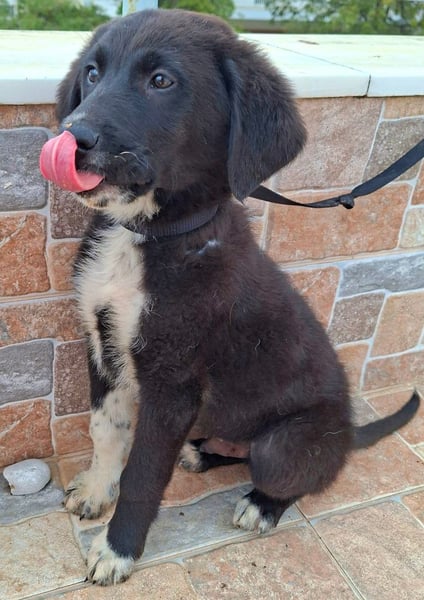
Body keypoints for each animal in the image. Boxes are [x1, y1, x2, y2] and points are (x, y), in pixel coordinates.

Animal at [51, 9, 419, 585]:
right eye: (92, 73)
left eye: (162, 81)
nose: (73, 136)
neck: (150, 235)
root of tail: (347, 433)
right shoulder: (102, 343)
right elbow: (105, 427)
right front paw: (95, 490)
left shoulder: (174, 385)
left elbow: (144, 475)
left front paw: (117, 550)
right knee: (234, 451)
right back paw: (201, 456)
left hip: (284, 443)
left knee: (295, 475)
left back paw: (261, 506)